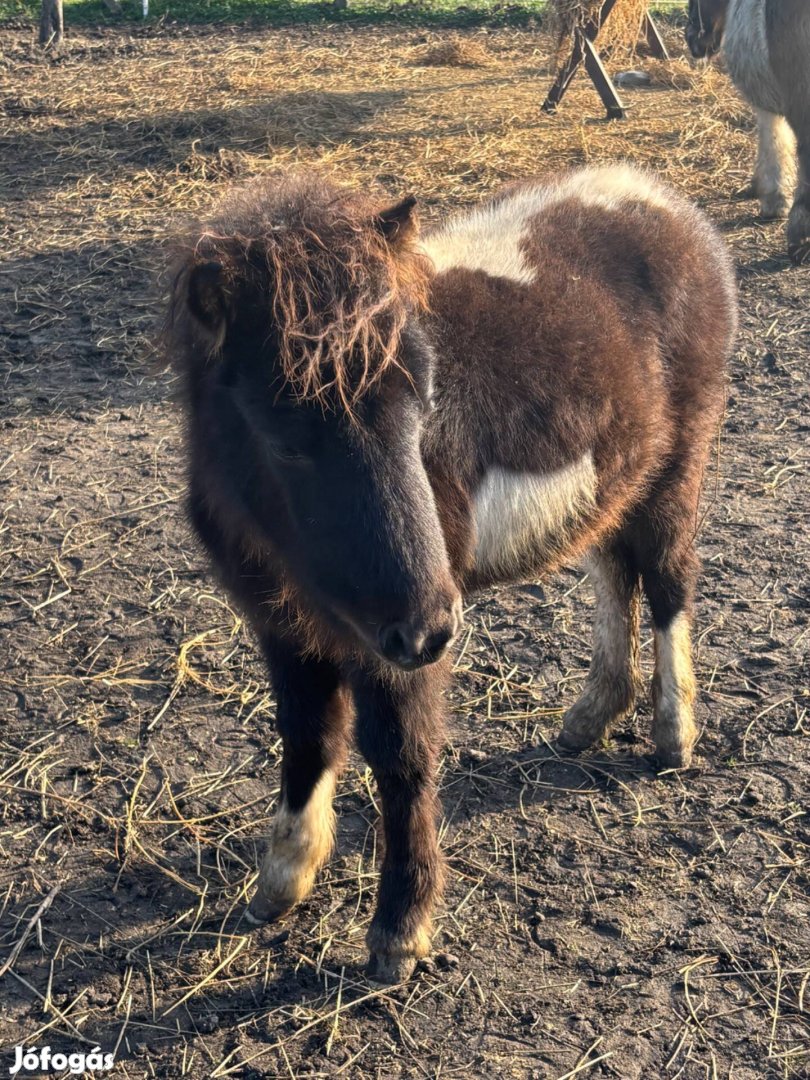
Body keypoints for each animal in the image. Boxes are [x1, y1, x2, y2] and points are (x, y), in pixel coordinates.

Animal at [162, 164, 738, 984]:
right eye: (284, 436)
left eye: (423, 403)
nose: (432, 626)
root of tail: (664, 203)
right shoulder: (282, 622)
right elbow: (307, 733)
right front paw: (282, 881)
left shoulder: (389, 645)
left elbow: (402, 758)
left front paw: (400, 932)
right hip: (608, 482)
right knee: (613, 573)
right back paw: (592, 716)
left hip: (677, 468)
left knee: (667, 582)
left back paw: (673, 735)